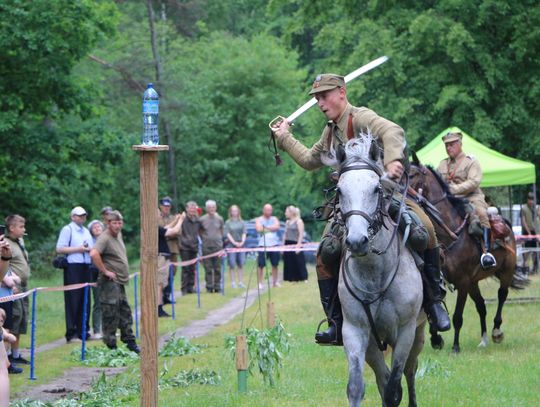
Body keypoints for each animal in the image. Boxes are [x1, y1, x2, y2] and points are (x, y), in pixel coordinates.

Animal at [338, 138, 426, 407]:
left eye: (376, 189)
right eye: (339, 190)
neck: (374, 274)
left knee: (410, 371)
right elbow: (358, 386)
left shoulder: (406, 332)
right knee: (383, 377)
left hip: (419, 334)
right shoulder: (356, 331)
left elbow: (394, 387)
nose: (357, 241)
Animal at [410, 159, 528, 354]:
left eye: (412, 174)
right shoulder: (444, 280)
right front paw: (436, 338)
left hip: (505, 271)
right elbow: (434, 305)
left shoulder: (463, 282)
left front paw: (455, 347)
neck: (450, 234)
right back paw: (484, 340)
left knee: (502, 295)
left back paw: (496, 332)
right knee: (481, 306)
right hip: (474, 283)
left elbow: (457, 316)